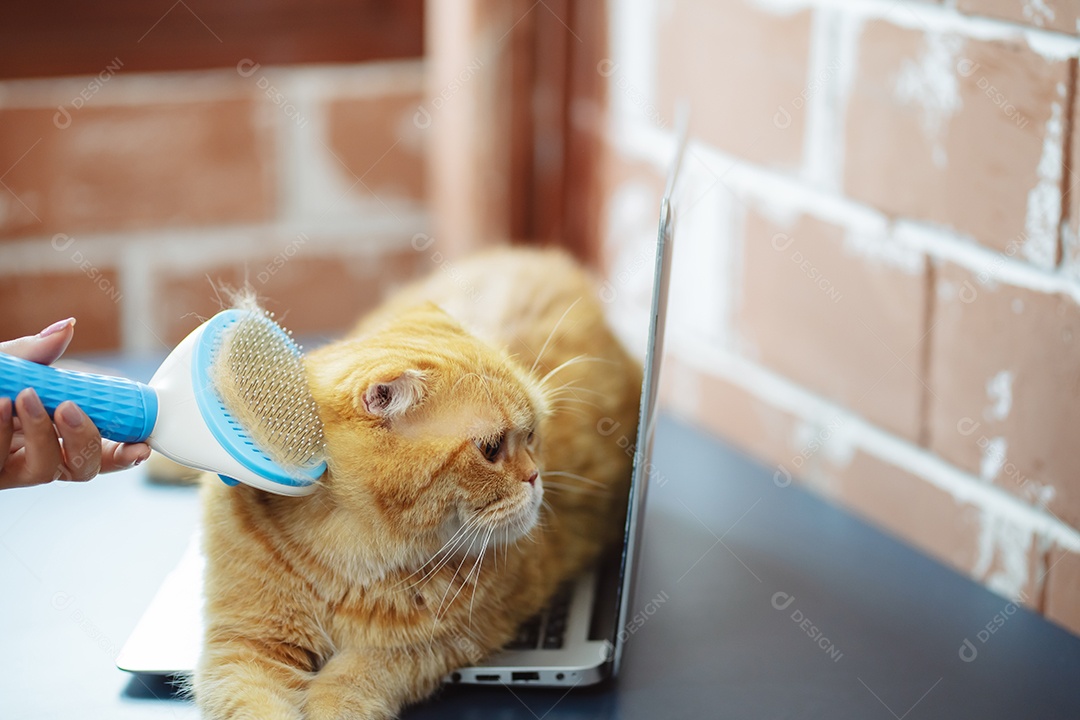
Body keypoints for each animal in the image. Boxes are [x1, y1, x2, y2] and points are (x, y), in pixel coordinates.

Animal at [194, 248, 639, 720]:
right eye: (491, 449)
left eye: (534, 435)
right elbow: (255, 705)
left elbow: (350, 682)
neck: (348, 555)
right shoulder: (243, 646)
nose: (536, 477)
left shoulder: (433, 644)